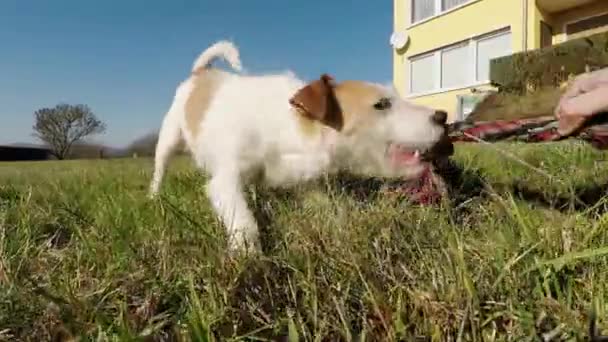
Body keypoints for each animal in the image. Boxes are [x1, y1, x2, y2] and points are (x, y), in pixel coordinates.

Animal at [150, 41, 448, 252]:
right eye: (381, 104)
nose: (443, 116)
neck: (289, 126)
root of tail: (201, 72)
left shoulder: (306, 182)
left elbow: (327, 208)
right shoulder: (226, 180)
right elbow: (243, 220)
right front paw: (248, 254)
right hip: (169, 136)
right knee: (160, 167)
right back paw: (155, 197)